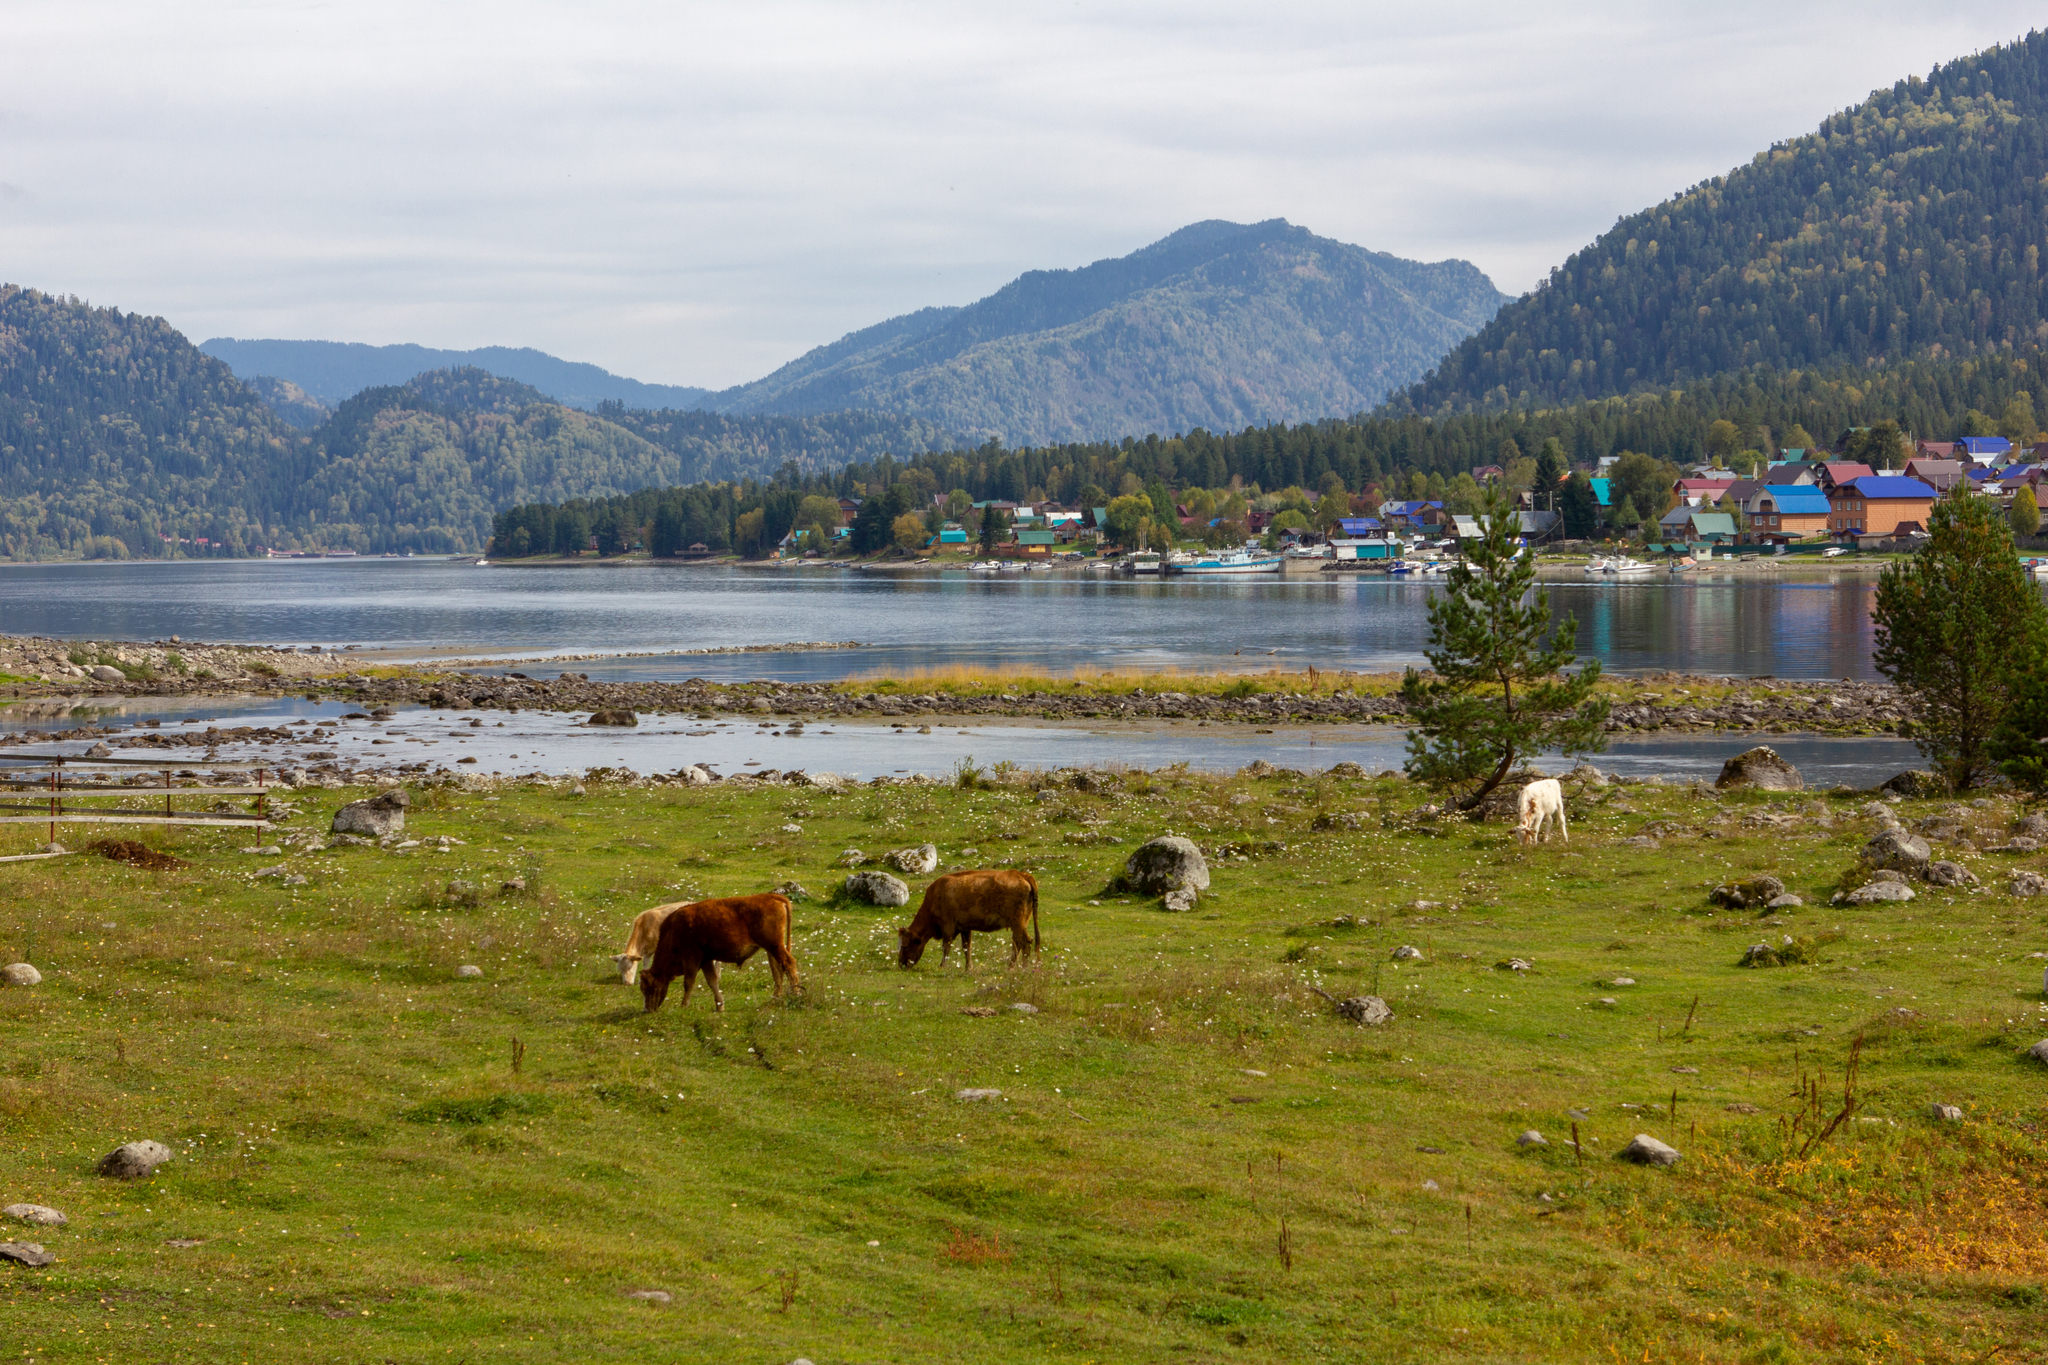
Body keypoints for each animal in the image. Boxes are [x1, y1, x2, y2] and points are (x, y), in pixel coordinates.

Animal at [638, 896, 798, 1015]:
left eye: (646, 988)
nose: (647, 1009)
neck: (673, 930)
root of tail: (772, 897)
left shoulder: (691, 958)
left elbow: (688, 982)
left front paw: (684, 1005)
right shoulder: (706, 960)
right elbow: (712, 981)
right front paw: (720, 1006)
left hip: (774, 946)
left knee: (788, 964)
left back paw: (796, 994)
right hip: (771, 949)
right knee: (777, 971)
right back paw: (775, 999)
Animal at [897, 875, 1040, 970]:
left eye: (905, 946)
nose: (901, 964)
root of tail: (1021, 874)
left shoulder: (948, 927)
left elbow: (946, 947)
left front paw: (942, 966)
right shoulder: (965, 928)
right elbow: (967, 948)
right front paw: (968, 968)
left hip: (1017, 923)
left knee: (1023, 942)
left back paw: (1015, 967)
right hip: (1020, 924)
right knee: (1022, 942)